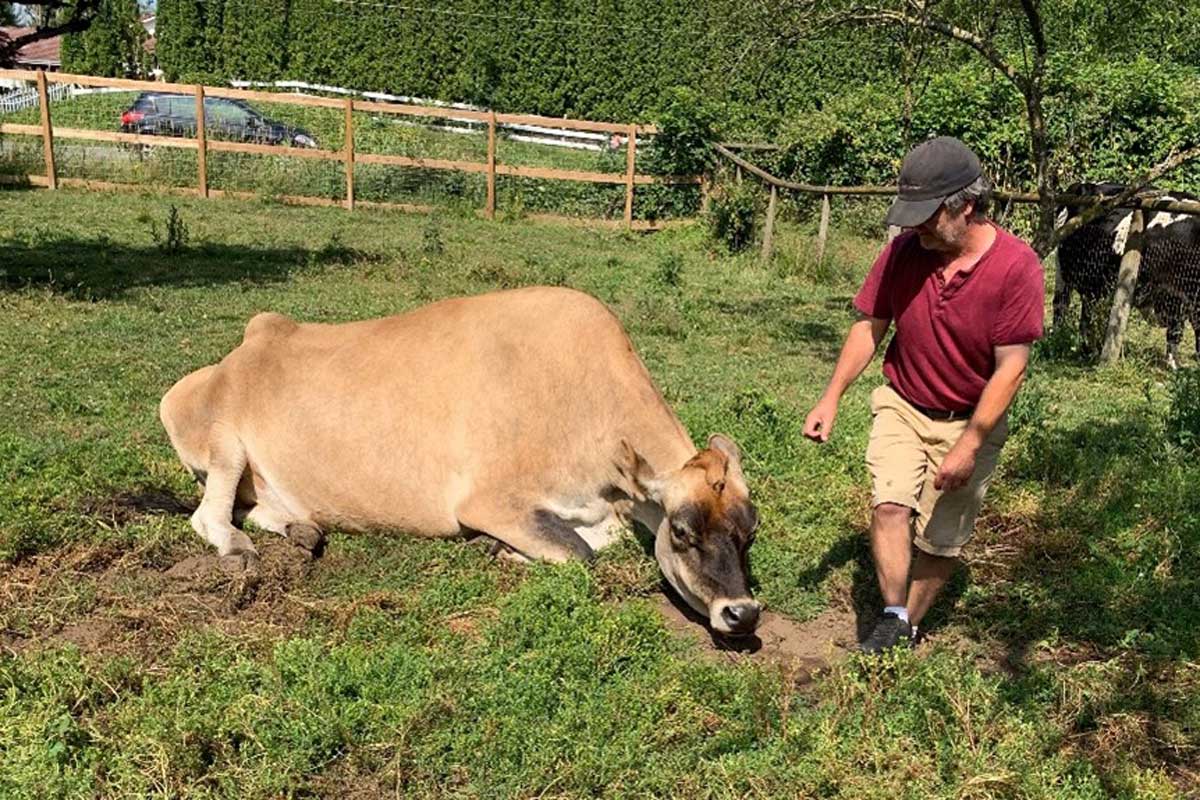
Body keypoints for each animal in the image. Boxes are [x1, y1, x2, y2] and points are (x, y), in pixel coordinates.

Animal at [159, 286, 758, 633]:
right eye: (681, 531)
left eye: (749, 533)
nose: (743, 612)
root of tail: (250, 342)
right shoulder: (488, 500)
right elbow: (580, 555)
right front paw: (503, 552)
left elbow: (590, 546)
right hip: (223, 442)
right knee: (210, 515)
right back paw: (239, 547)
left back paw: (302, 530)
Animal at [1060, 183, 1200, 367]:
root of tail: (1084, 185)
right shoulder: (1172, 294)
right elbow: (1176, 330)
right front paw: (1174, 364)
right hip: (1079, 280)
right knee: (1077, 313)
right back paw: (1087, 349)